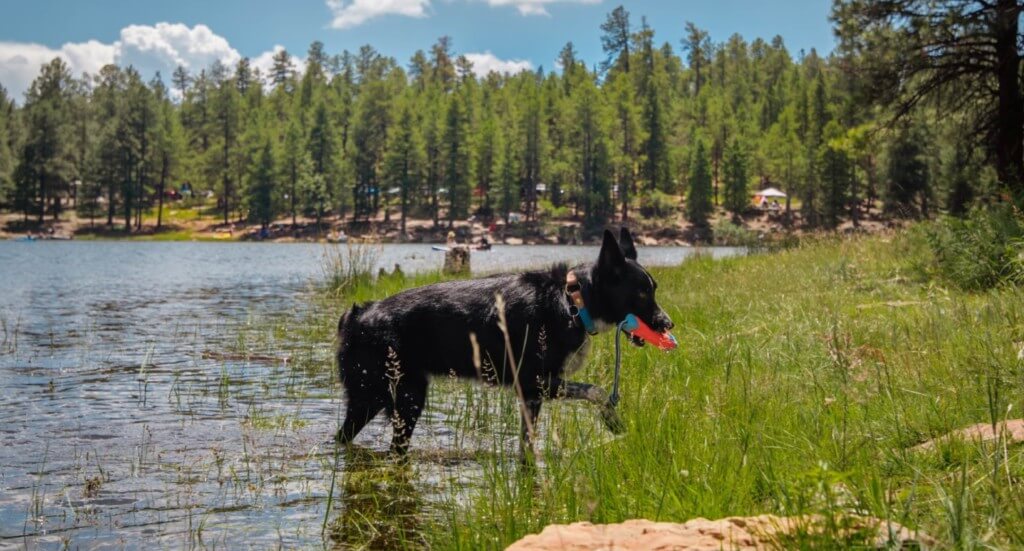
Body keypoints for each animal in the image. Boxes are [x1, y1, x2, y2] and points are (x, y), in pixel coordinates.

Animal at [335, 225, 671, 452]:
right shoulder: (537, 382)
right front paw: (613, 422)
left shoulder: (532, 395)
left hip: (383, 398)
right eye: (643, 292)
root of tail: (357, 316)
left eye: (654, 289)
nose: (668, 323)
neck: (574, 302)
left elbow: (527, 446)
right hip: (397, 398)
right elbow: (598, 391)